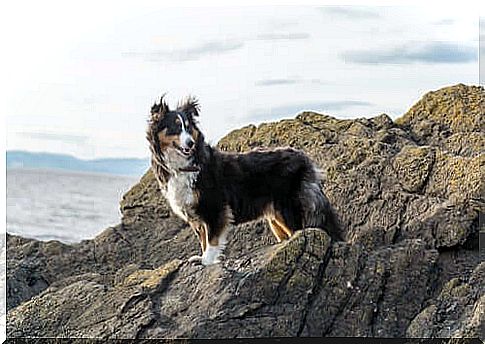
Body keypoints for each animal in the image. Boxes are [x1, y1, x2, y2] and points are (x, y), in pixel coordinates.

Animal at [146, 96, 342, 266]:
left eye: (188, 127)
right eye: (175, 127)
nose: (190, 143)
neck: (185, 165)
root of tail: (305, 159)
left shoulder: (214, 208)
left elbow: (211, 239)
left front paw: (207, 260)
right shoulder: (197, 215)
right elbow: (203, 240)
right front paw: (202, 258)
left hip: (288, 209)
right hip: (276, 217)